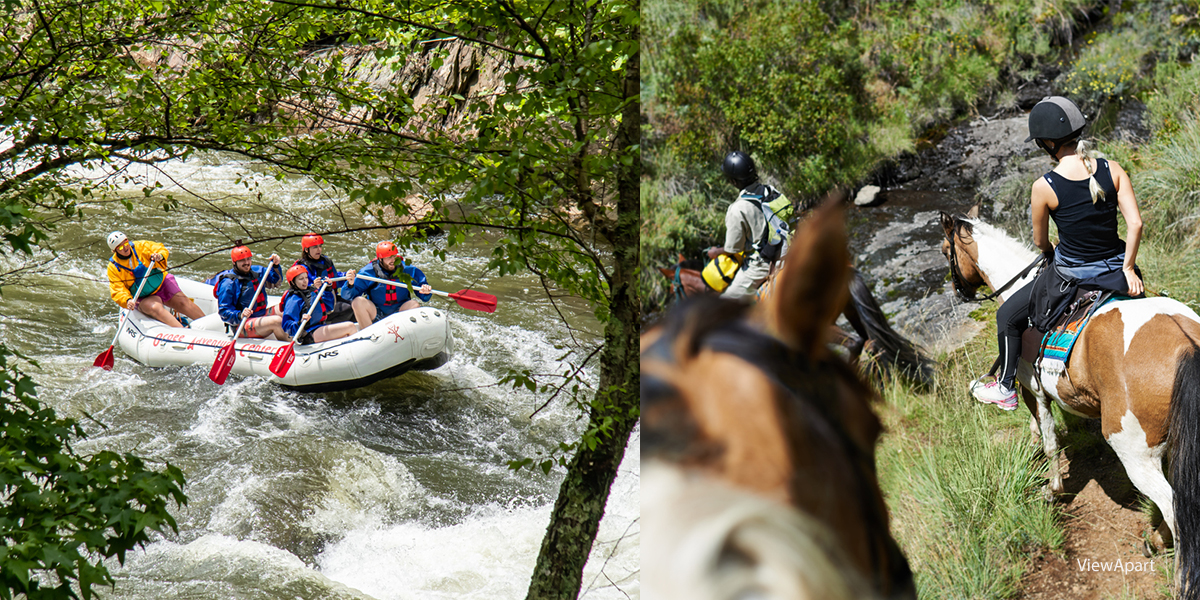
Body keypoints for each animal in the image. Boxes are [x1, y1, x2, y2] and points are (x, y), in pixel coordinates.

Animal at [936, 210, 1200, 595]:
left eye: (946, 251)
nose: (959, 290)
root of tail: (1187, 344)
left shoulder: (1032, 388)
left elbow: (1048, 441)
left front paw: (1053, 489)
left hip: (1135, 453)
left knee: (1174, 509)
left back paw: (1177, 573)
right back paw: (1156, 541)